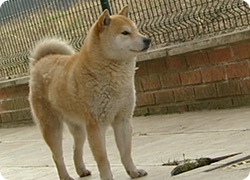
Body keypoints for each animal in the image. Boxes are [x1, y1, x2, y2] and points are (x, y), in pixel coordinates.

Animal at [28, 5, 151, 180]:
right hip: (52, 128)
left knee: (76, 148)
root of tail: (39, 62)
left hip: (79, 129)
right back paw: (65, 176)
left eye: (136, 30)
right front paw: (107, 177)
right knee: (57, 156)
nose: (148, 40)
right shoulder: (96, 126)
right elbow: (102, 157)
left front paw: (133, 171)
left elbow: (126, 152)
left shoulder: (123, 120)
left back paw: (81, 170)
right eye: (125, 33)